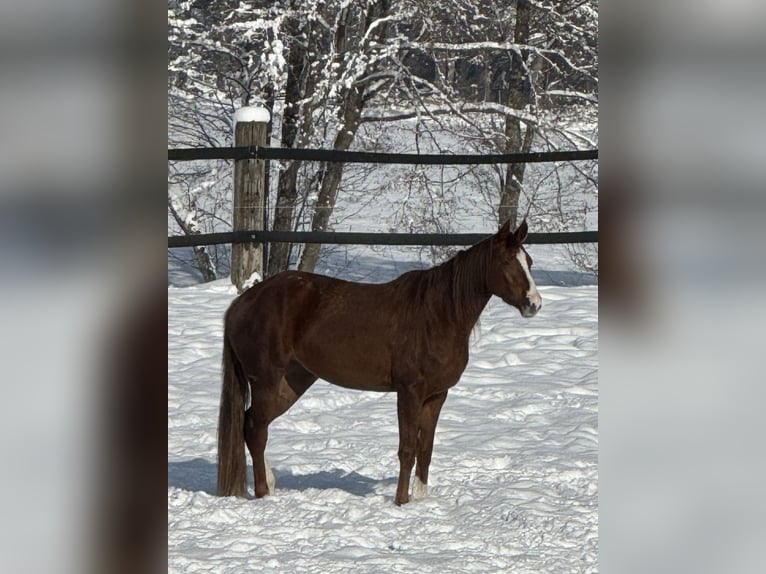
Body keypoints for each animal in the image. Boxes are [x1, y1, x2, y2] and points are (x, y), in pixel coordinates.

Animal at [216, 219, 541, 505]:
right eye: (506, 262)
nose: (534, 304)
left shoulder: (437, 396)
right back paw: (263, 493)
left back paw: (270, 483)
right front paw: (401, 502)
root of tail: (243, 302)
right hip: (266, 380)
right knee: (256, 430)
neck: (437, 314)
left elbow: (426, 450)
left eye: (529, 261)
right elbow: (407, 449)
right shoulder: (409, 392)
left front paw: (421, 501)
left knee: (253, 425)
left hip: (292, 382)